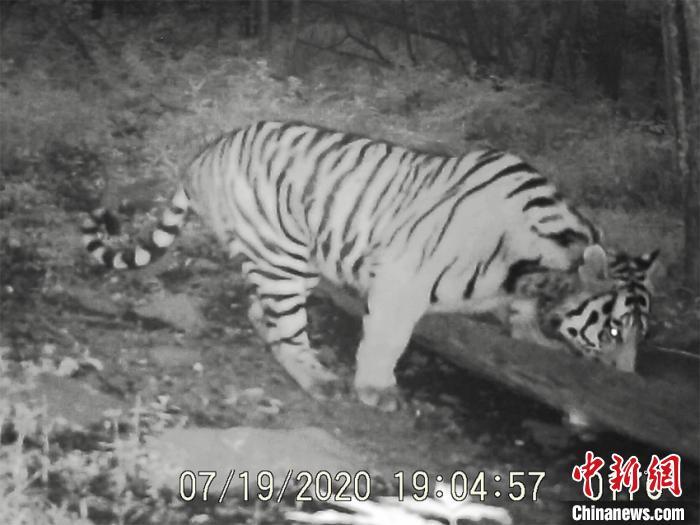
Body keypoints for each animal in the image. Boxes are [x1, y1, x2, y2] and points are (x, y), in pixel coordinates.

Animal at [81, 120, 659, 411]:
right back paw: (319, 380)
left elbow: (523, 325)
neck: (532, 265)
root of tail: (204, 152)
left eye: (640, 335)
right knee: (285, 328)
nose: (628, 382)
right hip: (283, 257)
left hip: (296, 260)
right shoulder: (403, 282)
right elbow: (387, 340)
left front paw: (539, 345)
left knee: (262, 313)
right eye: (611, 330)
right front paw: (376, 391)